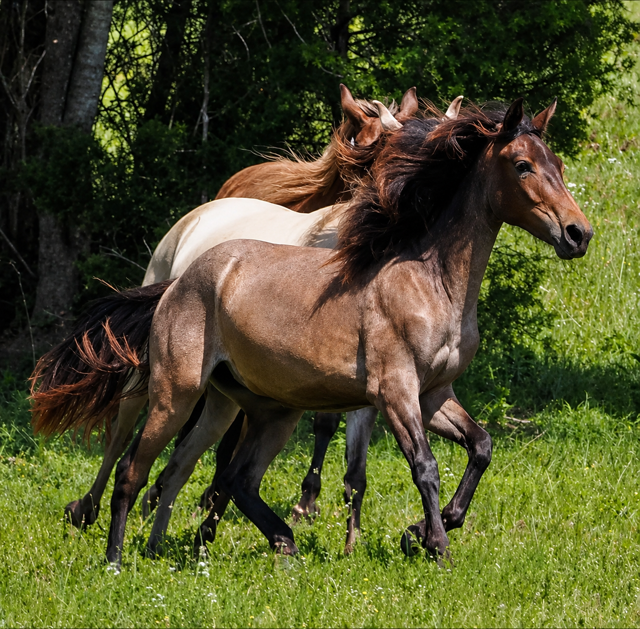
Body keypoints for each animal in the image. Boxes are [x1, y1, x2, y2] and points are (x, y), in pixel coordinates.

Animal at [31, 97, 592, 568]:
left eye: (559, 166)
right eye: (522, 165)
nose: (578, 234)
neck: (430, 281)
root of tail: (182, 279)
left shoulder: (434, 394)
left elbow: (481, 447)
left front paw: (420, 531)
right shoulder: (396, 392)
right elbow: (425, 467)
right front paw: (434, 545)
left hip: (258, 409)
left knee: (230, 475)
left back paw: (265, 545)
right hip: (175, 393)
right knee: (132, 462)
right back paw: (113, 553)